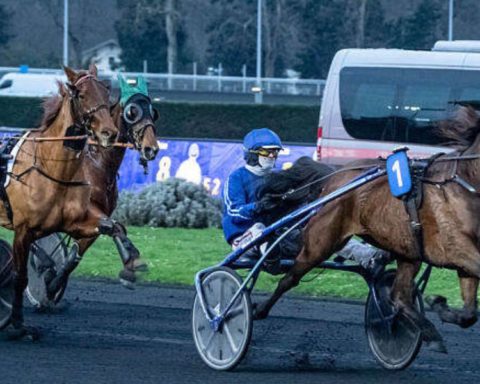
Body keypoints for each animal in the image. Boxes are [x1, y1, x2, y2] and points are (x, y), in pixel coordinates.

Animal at [0, 64, 118, 338]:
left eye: (106, 92)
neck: (48, 166)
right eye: (81, 95)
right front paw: (18, 324)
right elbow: (20, 277)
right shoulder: (22, 230)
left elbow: (103, 231)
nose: (109, 132)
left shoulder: (71, 223)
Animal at [255, 105, 480, 352]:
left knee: (399, 297)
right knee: (290, 278)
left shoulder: (463, 258)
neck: (465, 182)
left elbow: (469, 313)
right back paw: (257, 310)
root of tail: (335, 176)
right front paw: (438, 303)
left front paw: (439, 304)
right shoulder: (458, 248)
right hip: (321, 241)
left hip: (408, 250)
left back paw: (429, 333)